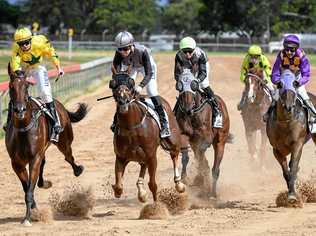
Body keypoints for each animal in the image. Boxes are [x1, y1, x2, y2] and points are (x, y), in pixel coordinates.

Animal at [5, 65, 89, 227]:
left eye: (26, 86)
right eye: (11, 87)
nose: (19, 110)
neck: (23, 129)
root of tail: (59, 104)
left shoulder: (34, 158)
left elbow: (29, 190)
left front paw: (28, 218)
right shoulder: (16, 163)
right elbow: (27, 188)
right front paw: (33, 211)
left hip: (64, 141)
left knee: (69, 157)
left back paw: (78, 169)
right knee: (44, 164)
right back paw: (44, 183)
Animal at [110, 72, 186, 203]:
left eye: (129, 85)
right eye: (113, 85)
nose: (123, 102)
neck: (131, 128)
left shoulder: (151, 156)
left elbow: (153, 184)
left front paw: (157, 205)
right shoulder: (120, 157)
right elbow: (119, 186)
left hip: (173, 140)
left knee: (174, 154)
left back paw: (179, 184)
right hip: (141, 156)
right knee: (142, 167)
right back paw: (141, 191)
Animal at [266, 69, 316, 203]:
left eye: (295, 83)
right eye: (280, 84)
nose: (288, 107)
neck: (286, 122)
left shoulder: (297, 144)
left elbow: (293, 167)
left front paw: (293, 196)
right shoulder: (276, 149)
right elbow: (286, 171)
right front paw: (290, 193)